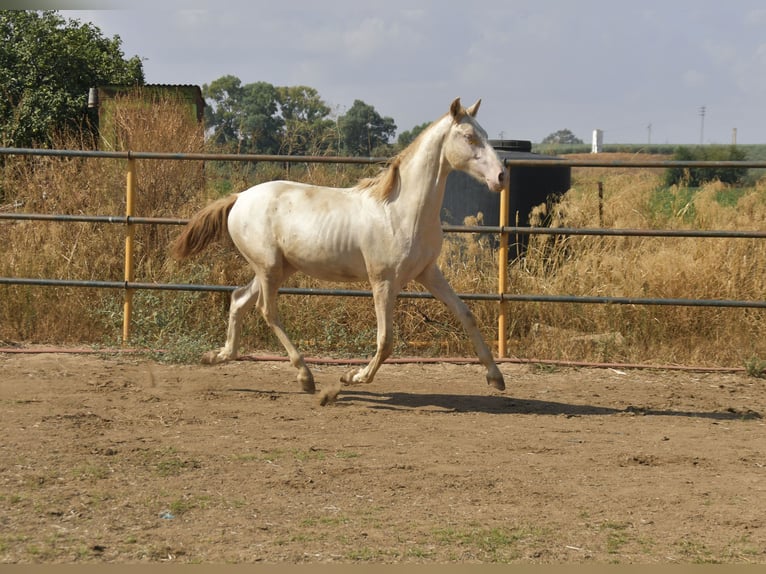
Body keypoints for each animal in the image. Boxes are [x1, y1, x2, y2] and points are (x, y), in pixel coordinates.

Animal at [175, 98, 510, 396]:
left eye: (485, 133)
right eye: (469, 137)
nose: (501, 176)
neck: (401, 210)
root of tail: (239, 197)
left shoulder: (428, 272)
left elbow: (465, 314)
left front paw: (496, 378)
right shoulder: (383, 281)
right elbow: (386, 340)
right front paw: (353, 377)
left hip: (277, 269)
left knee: (239, 299)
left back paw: (218, 356)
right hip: (269, 268)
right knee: (266, 311)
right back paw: (305, 376)